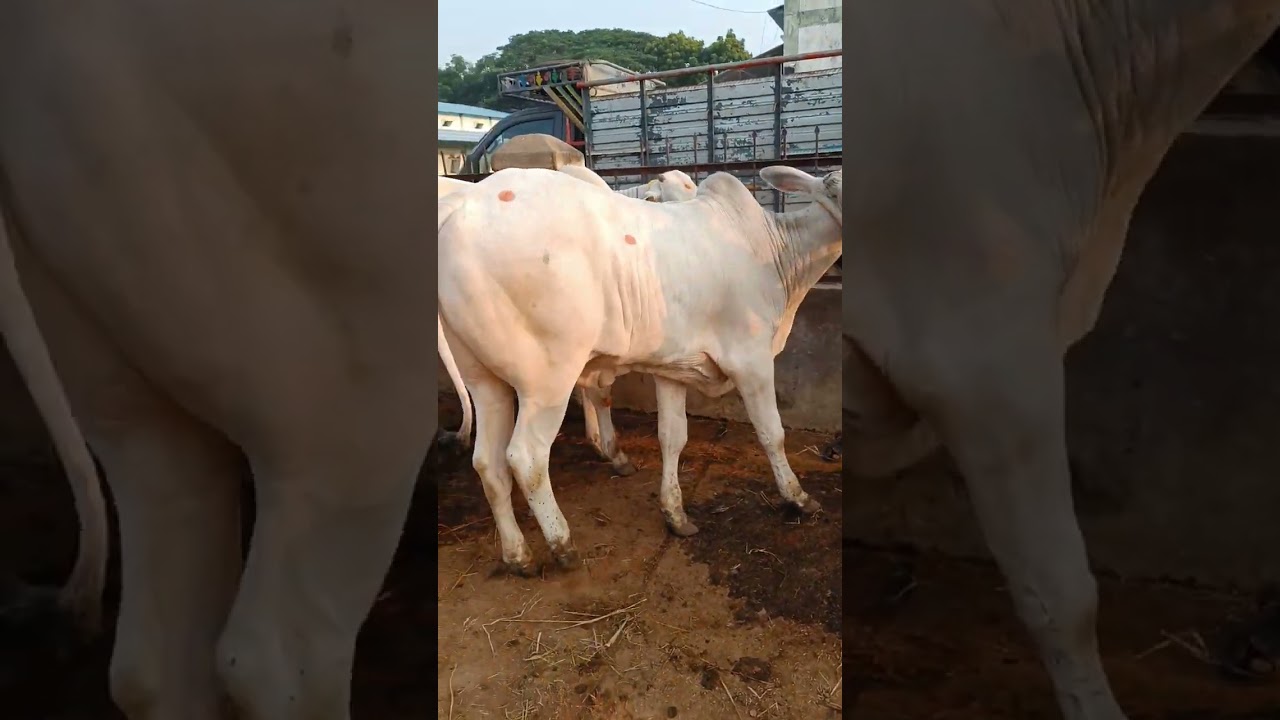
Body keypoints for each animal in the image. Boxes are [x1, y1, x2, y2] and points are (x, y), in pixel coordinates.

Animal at [437, 164, 841, 575]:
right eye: (835, 189)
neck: (773, 252)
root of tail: (463, 205)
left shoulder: (673, 369)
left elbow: (672, 437)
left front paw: (675, 513)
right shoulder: (752, 360)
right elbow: (772, 433)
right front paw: (797, 496)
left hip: (483, 378)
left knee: (488, 463)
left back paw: (517, 554)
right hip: (548, 379)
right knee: (525, 457)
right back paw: (562, 544)